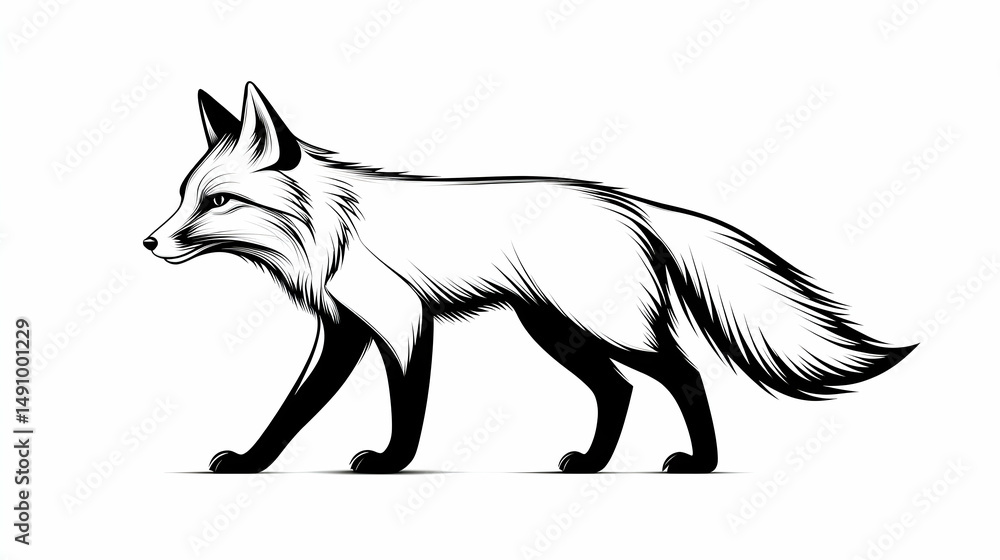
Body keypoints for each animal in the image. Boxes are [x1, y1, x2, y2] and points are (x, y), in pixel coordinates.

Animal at [145, 82, 915, 474]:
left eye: (217, 201)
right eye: (185, 194)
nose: (149, 241)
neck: (333, 230)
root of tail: (625, 201)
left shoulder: (402, 323)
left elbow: (408, 404)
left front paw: (393, 461)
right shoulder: (343, 332)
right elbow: (291, 410)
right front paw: (252, 461)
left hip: (606, 329)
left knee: (684, 374)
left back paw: (699, 462)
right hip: (555, 330)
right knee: (619, 389)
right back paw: (593, 463)